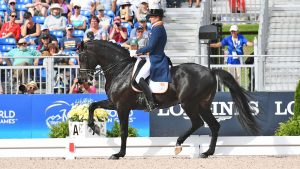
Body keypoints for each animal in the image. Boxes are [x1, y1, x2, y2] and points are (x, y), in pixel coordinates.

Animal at [78, 40, 258, 159]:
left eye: (82, 57)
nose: (82, 80)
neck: (120, 69)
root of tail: (211, 71)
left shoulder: (122, 106)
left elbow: (123, 131)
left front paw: (119, 154)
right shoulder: (113, 103)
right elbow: (92, 105)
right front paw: (94, 128)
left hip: (189, 103)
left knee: (198, 123)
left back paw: (179, 144)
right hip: (202, 105)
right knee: (214, 125)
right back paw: (207, 153)